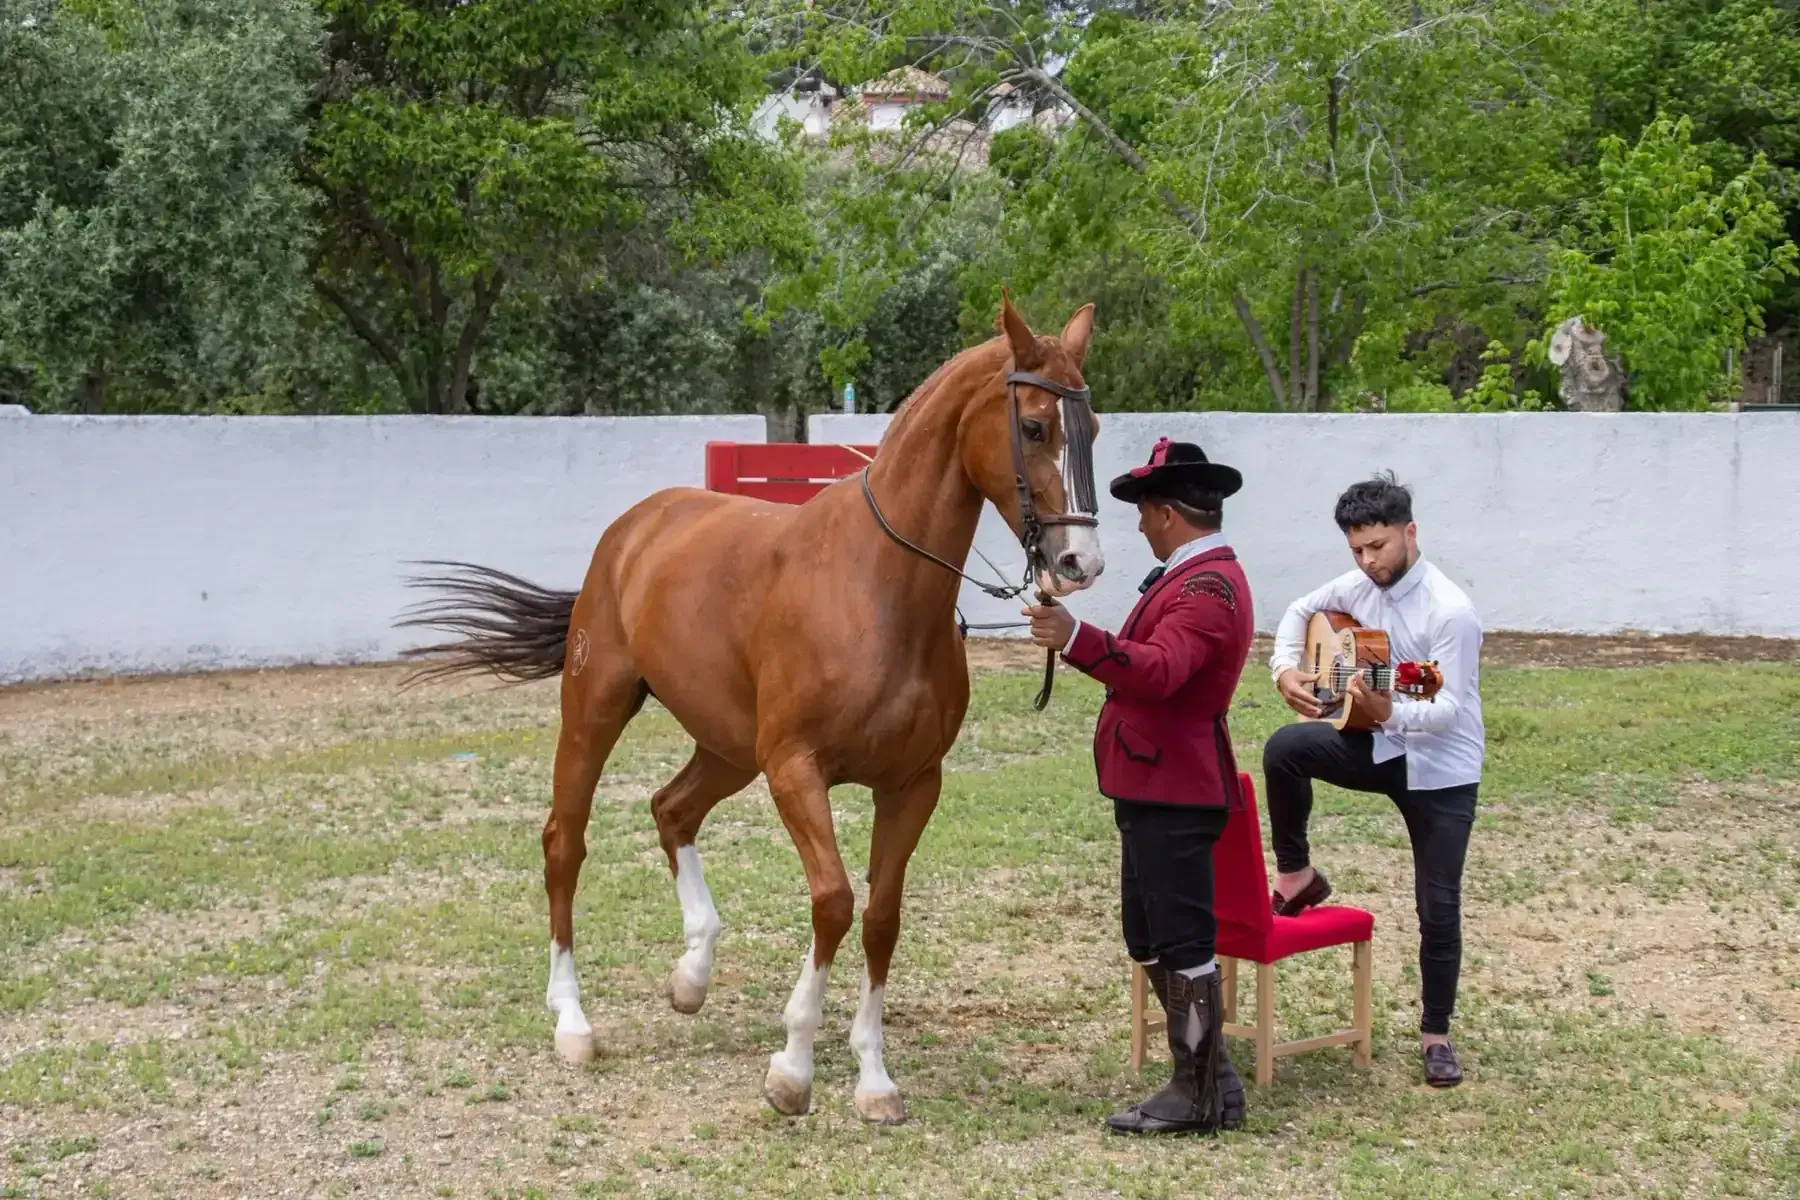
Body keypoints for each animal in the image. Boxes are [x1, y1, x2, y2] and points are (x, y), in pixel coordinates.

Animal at [397, 296, 1105, 1124]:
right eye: (1034, 427)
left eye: (1093, 428)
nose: (1079, 564)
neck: (878, 591)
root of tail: (636, 527)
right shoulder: (796, 770)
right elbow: (833, 902)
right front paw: (793, 1068)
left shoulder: (912, 784)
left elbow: (882, 918)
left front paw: (873, 1079)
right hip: (598, 711)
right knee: (564, 844)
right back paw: (572, 1020)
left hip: (728, 747)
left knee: (671, 809)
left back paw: (692, 974)